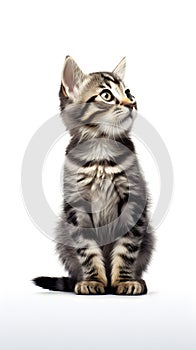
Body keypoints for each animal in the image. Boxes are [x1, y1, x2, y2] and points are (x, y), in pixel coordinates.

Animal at [33, 56, 154, 294]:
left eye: (128, 92)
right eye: (106, 95)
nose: (132, 104)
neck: (101, 152)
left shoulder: (134, 203)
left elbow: (126, 249)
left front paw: (124, 281)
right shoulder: (77, 208)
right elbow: (87, 251)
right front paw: (93, 280)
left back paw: (135, 281)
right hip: (62, 233)